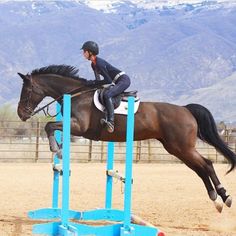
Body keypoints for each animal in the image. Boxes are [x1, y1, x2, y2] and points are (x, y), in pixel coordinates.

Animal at [17, 64, 236, 212]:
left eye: (27, 91)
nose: (21, 114)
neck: (77, 95)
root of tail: (185, 109)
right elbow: (51, 127)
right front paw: (59, 149)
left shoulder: (79, 127)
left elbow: (49, 125)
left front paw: (56, 149)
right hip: (176, 149)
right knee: (200, 168)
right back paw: (216, 198)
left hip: (182, 147)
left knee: (206, 164)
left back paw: (224, 196)